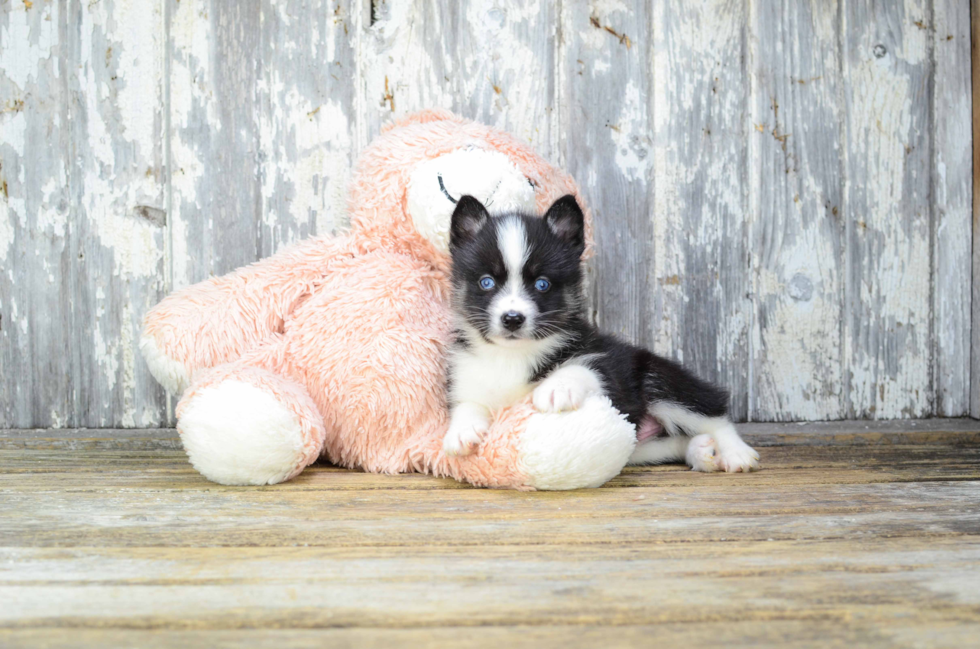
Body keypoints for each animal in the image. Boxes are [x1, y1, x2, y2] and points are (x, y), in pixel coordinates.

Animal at [440, 192, 760, 470]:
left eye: (542, 284)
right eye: (486, 282)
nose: (512, 319)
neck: (512, 355)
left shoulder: (608, 364)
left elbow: (585, 367)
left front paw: (556, 387)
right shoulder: (468, 374)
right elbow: (467, 402)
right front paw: (462, 429)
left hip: (659, 378)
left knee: (712, 413)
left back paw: (735, 453)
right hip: (637, 443)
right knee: (669, 442)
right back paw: (701, 451)